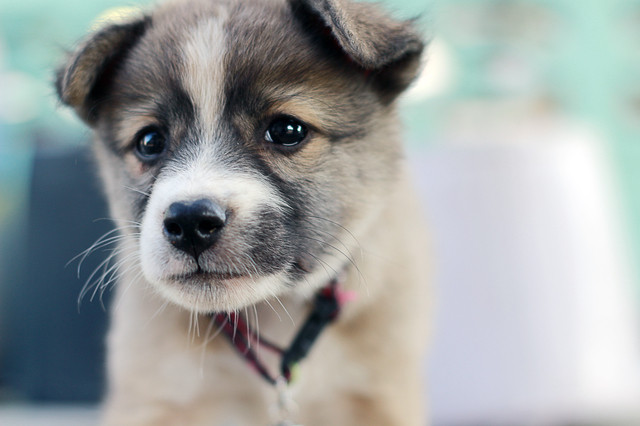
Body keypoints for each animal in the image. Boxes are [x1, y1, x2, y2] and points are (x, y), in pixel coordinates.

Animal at [56, 0, 430, 424]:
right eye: (149, 141)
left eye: (287, 130)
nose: (190, 223)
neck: (270, 313)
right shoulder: (153, 397)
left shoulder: (380, 397)